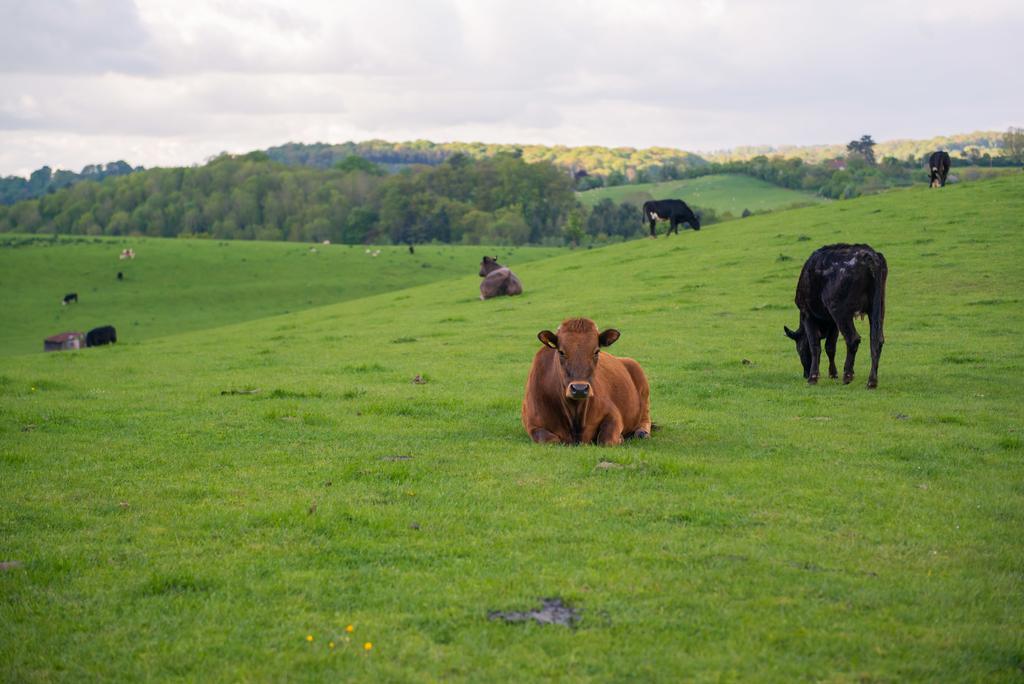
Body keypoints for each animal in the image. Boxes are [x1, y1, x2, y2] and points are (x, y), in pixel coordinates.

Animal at [524, 317, 651, 446]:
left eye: (596, 351)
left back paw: (641, 432)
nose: (579, 389)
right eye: (561, 352)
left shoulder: (613, 414)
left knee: (645, 418)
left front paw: (620, 438)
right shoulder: (533, 425)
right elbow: (550, 440)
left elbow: (606, 439)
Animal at [782, 244, 888, 385]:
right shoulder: (832, 322)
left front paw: (813, 377)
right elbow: (830, 347)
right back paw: (872, 380)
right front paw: (833, 373)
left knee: (853, 339)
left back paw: (848, 375)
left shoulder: (807, 314)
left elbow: (815, 345)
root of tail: (868, 256)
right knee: (877, 340)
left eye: (799, 349)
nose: (805, 374)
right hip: (878, 308)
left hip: (840, 311)